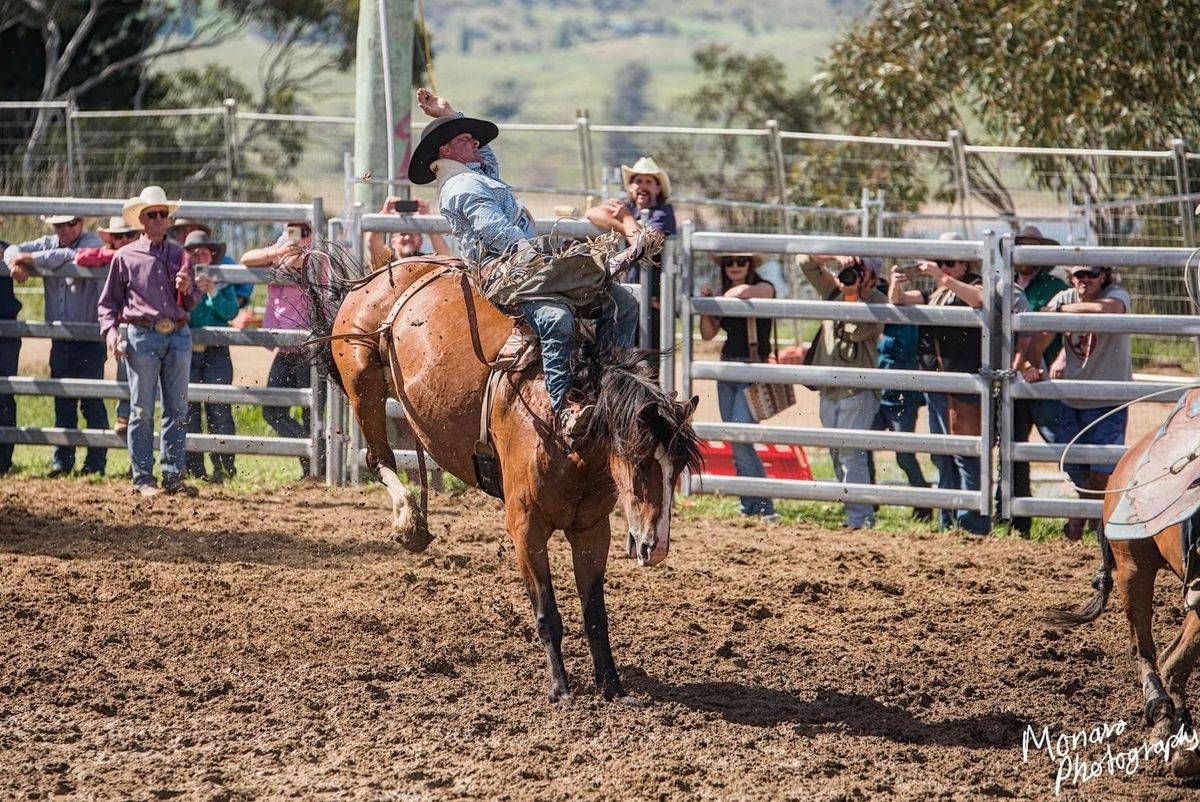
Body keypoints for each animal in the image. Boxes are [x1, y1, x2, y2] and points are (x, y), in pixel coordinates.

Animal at [294, 250, 700, 701]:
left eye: (677, 469)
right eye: (639, 458)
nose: (655, 547)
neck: (566, 427)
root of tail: (371, 278)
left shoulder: (593, 530)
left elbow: (595, 614)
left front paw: (612, 685)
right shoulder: (526, 526)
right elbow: (547, 613)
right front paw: (559, 688)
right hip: (363, 383)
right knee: (379, 458)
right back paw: (410, 523)